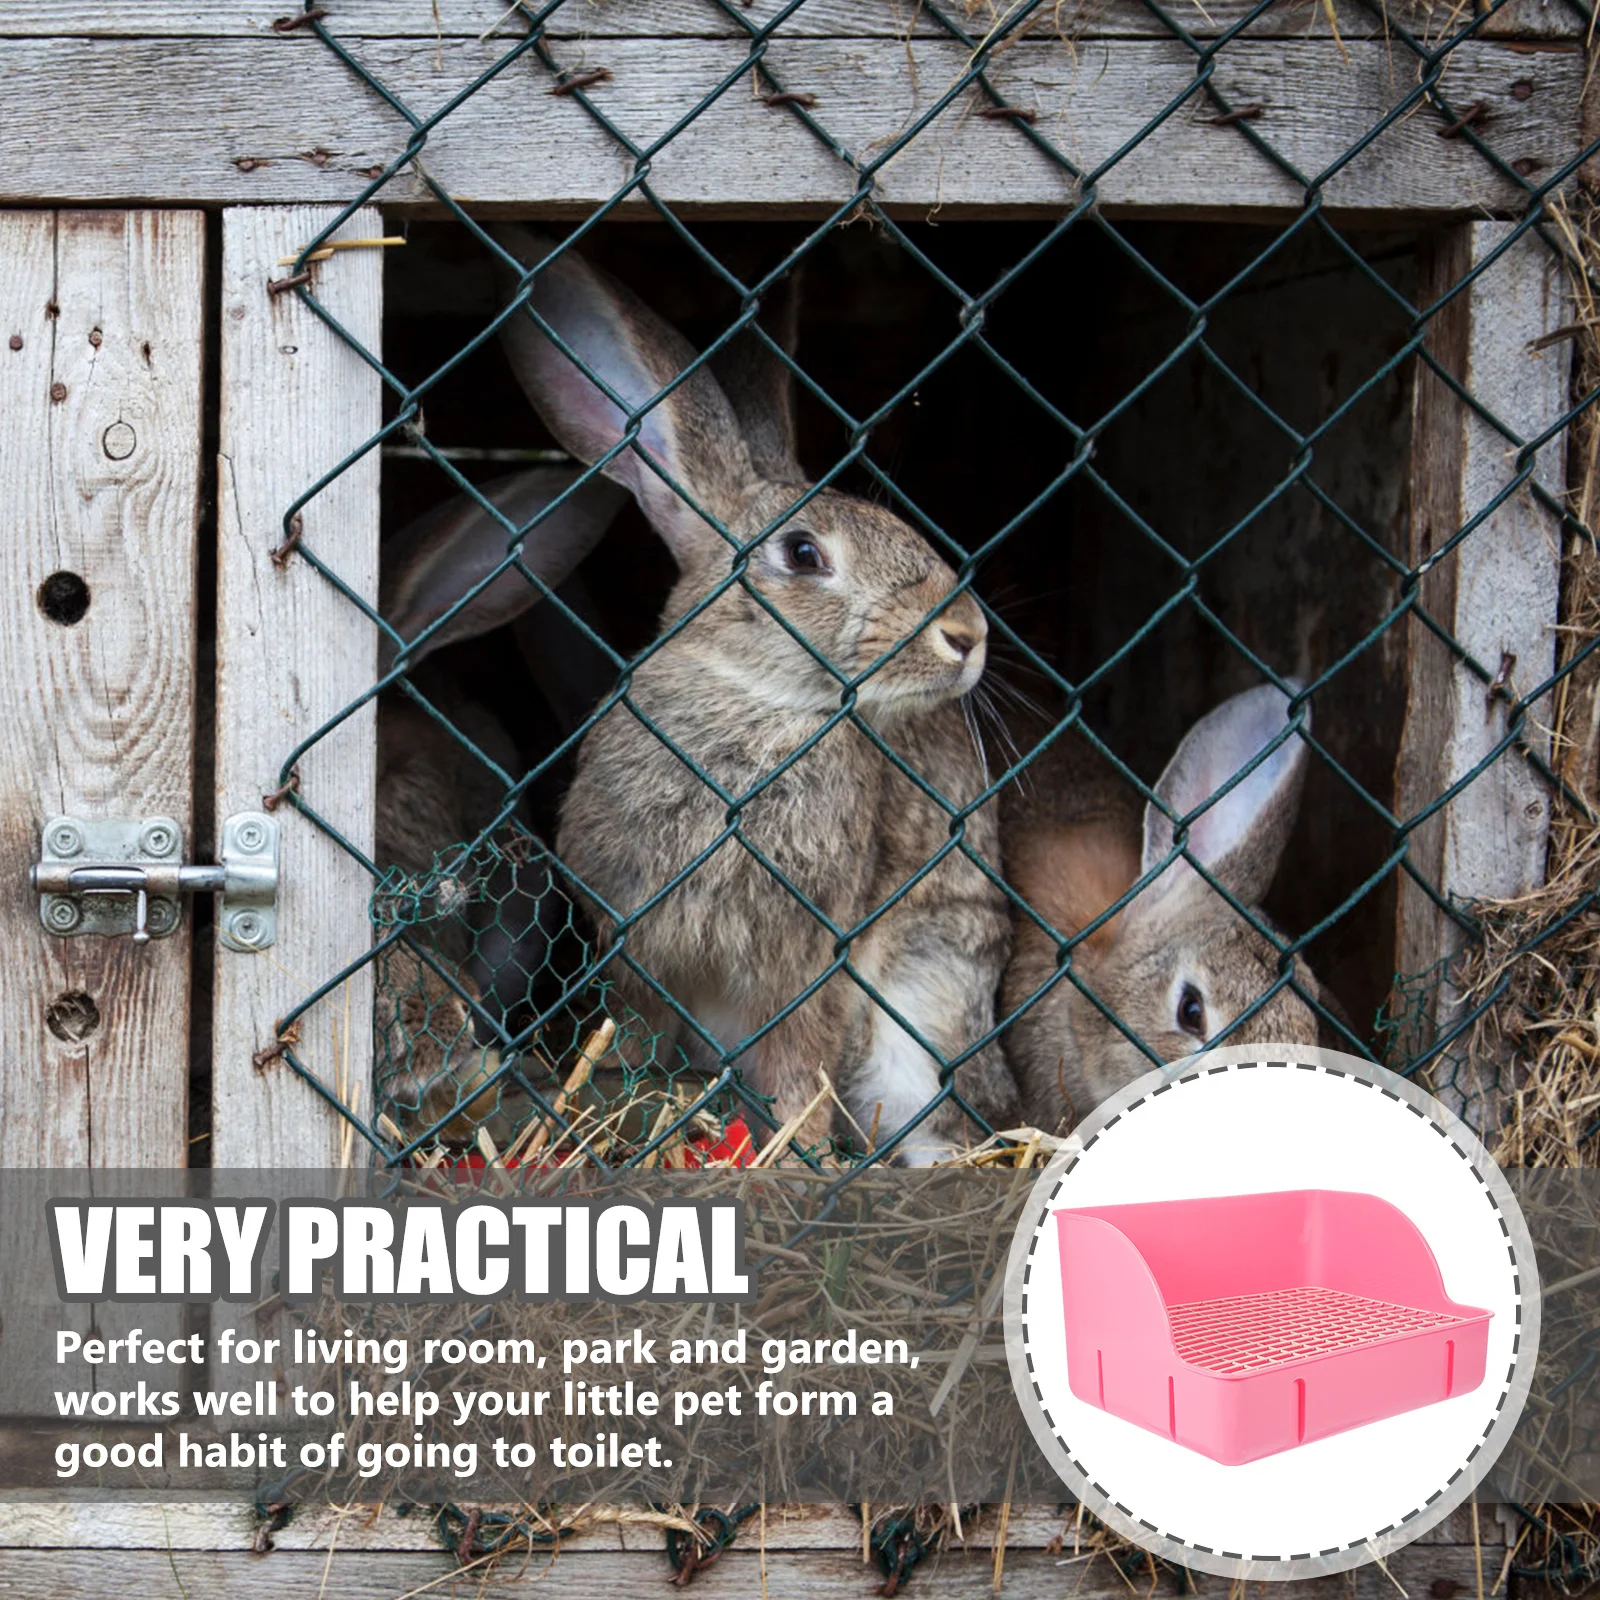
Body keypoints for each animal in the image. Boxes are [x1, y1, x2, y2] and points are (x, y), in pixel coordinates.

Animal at [490, 225, 1021, 1164]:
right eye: (803, 554)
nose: (967, 635)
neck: (759, 704)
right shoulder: (638, 948)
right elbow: (638, 1031)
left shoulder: (812, 962)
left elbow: (801, 1059)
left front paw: (794, 1150)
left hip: (926, 1009)